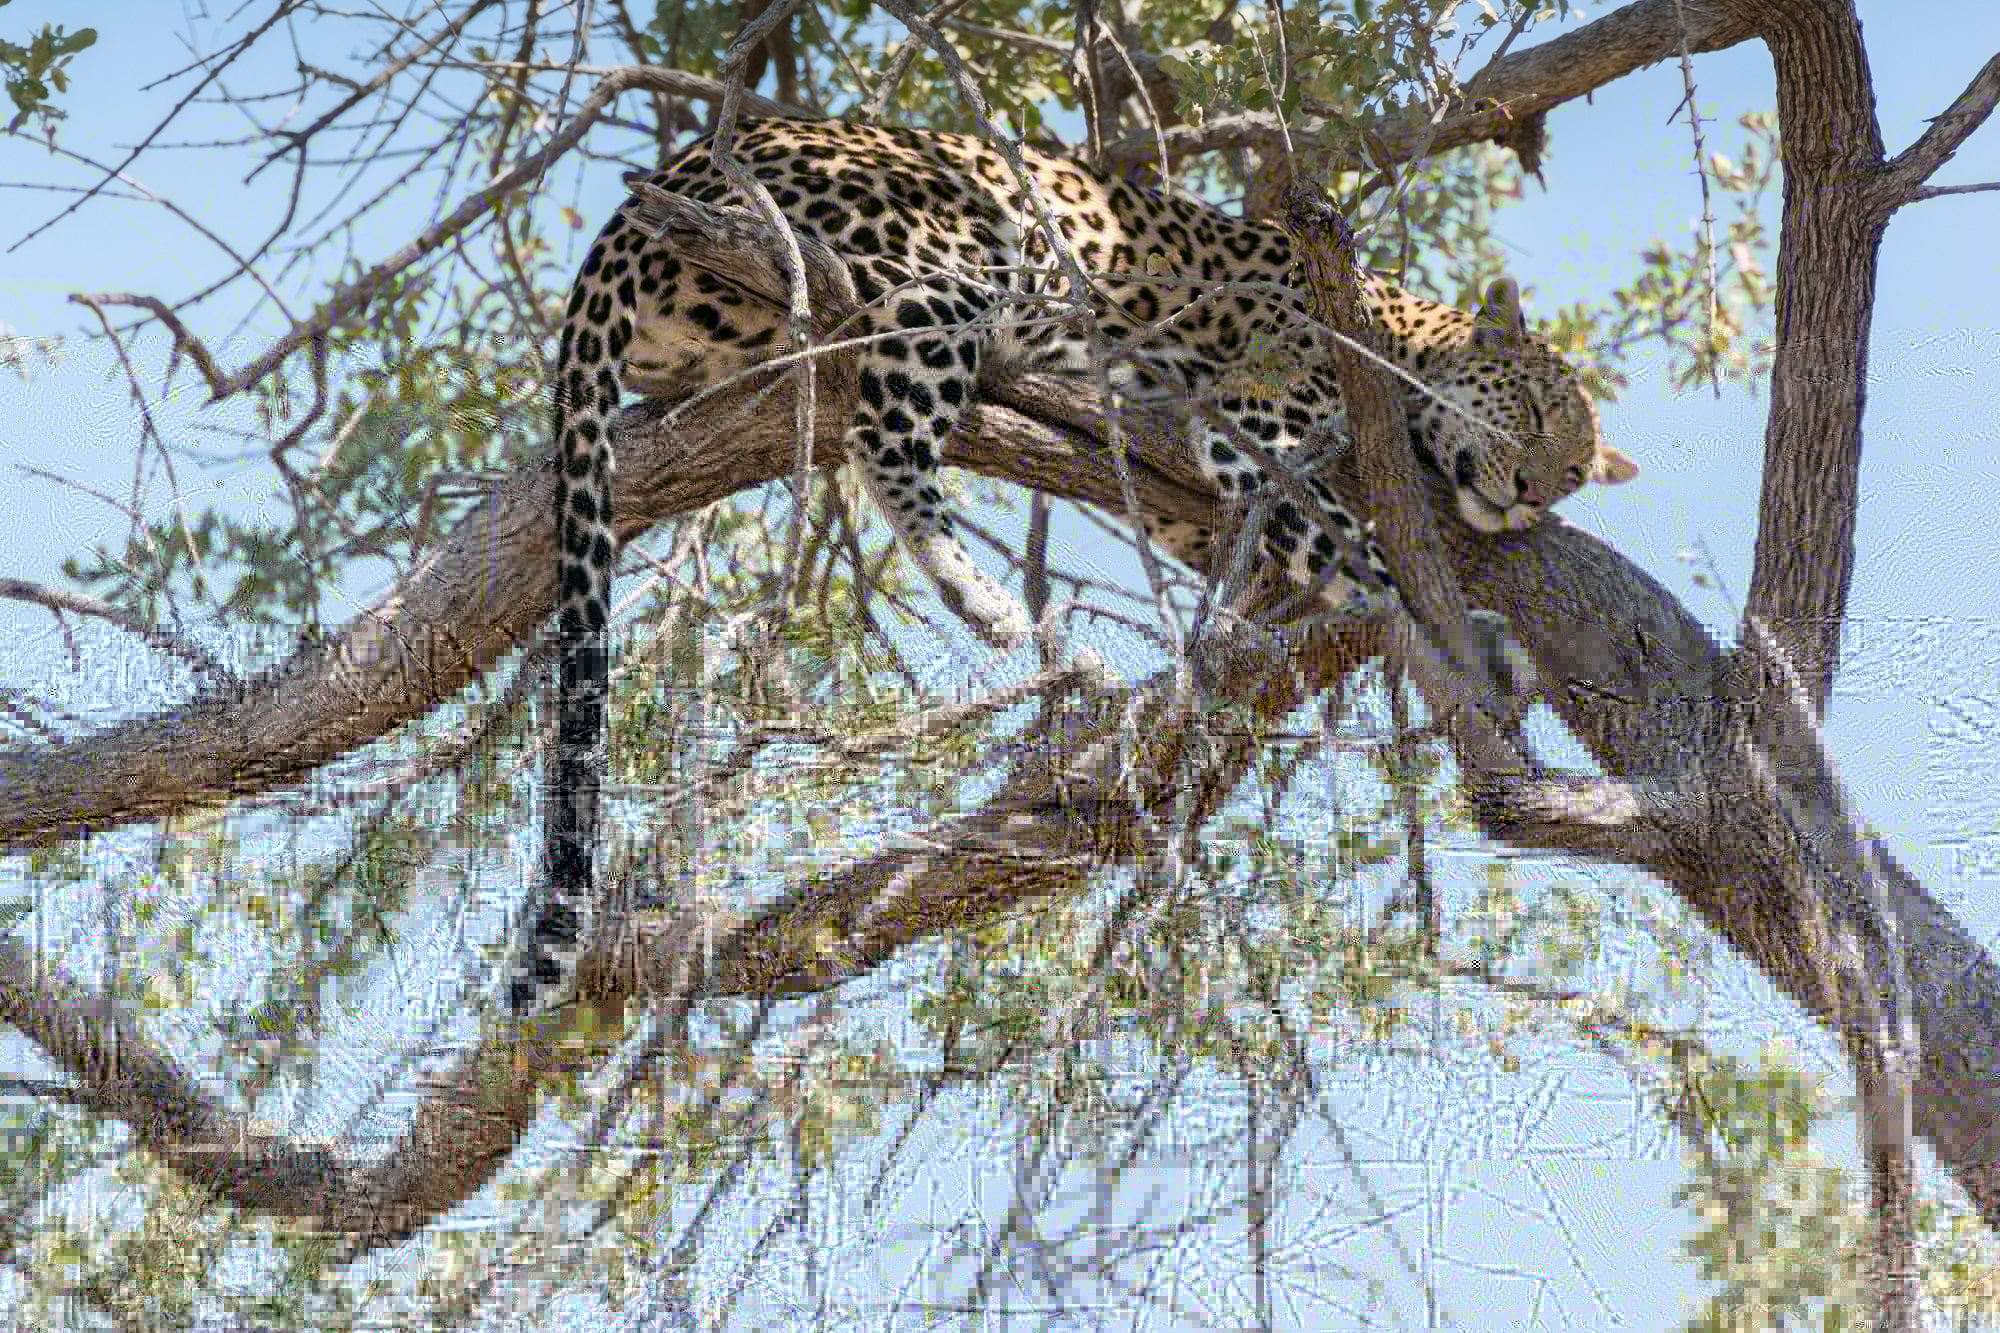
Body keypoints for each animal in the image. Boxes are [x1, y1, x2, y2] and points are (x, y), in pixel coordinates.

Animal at [513, 116, 1639, 1019]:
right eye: (1538, 411)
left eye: (1577, 469)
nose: (1531, 490)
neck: (1401, 345)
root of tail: (668, 180)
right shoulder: (1251, 418)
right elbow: (1343, 542)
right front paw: (1462, 637)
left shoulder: (1203, 501)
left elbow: (1290, 552)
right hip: (964, 252)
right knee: (883, 421)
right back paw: (983, 594)